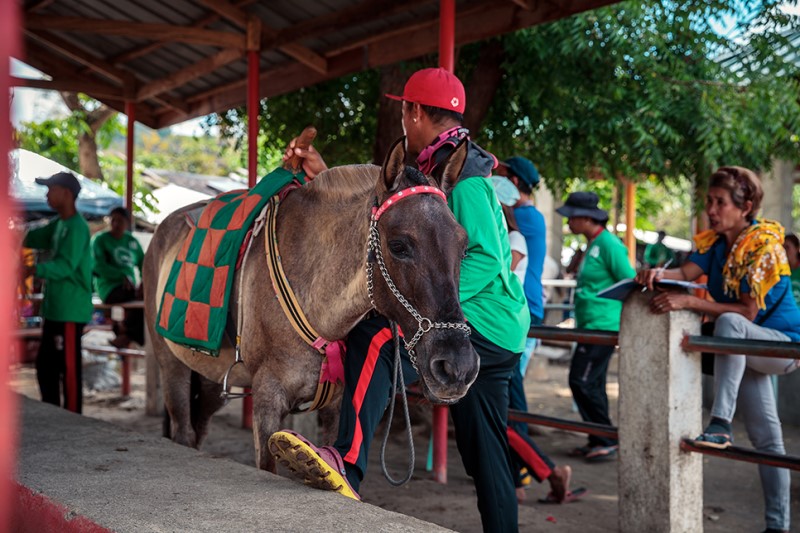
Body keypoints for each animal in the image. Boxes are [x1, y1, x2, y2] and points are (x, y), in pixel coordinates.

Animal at [143, 136, 478, 470]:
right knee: (183, 431)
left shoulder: (336, 403)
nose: (457, 367)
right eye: (398, 246)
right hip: (171, 362)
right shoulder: (267, 397)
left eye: (464, 248)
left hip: (209, 376)